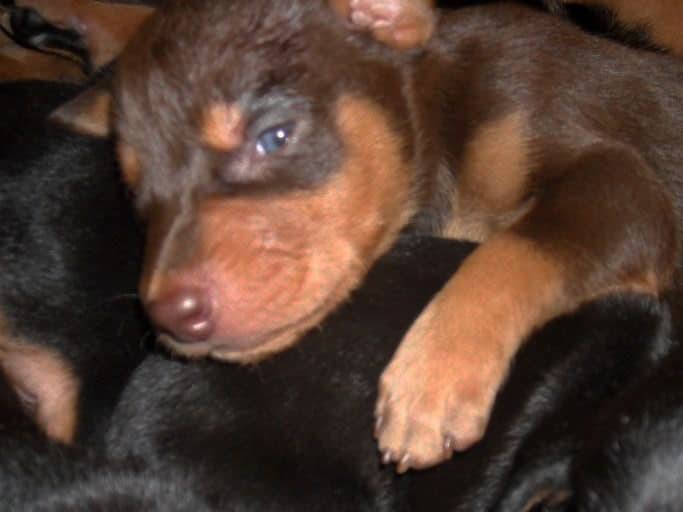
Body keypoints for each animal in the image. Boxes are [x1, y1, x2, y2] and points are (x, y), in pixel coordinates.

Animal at [68, 0, 683, 472]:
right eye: (134, 190)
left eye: (275, 136)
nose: (170, 316)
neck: (438, 120)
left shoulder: (621, 184)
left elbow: (511, 251)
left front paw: (432, 377)